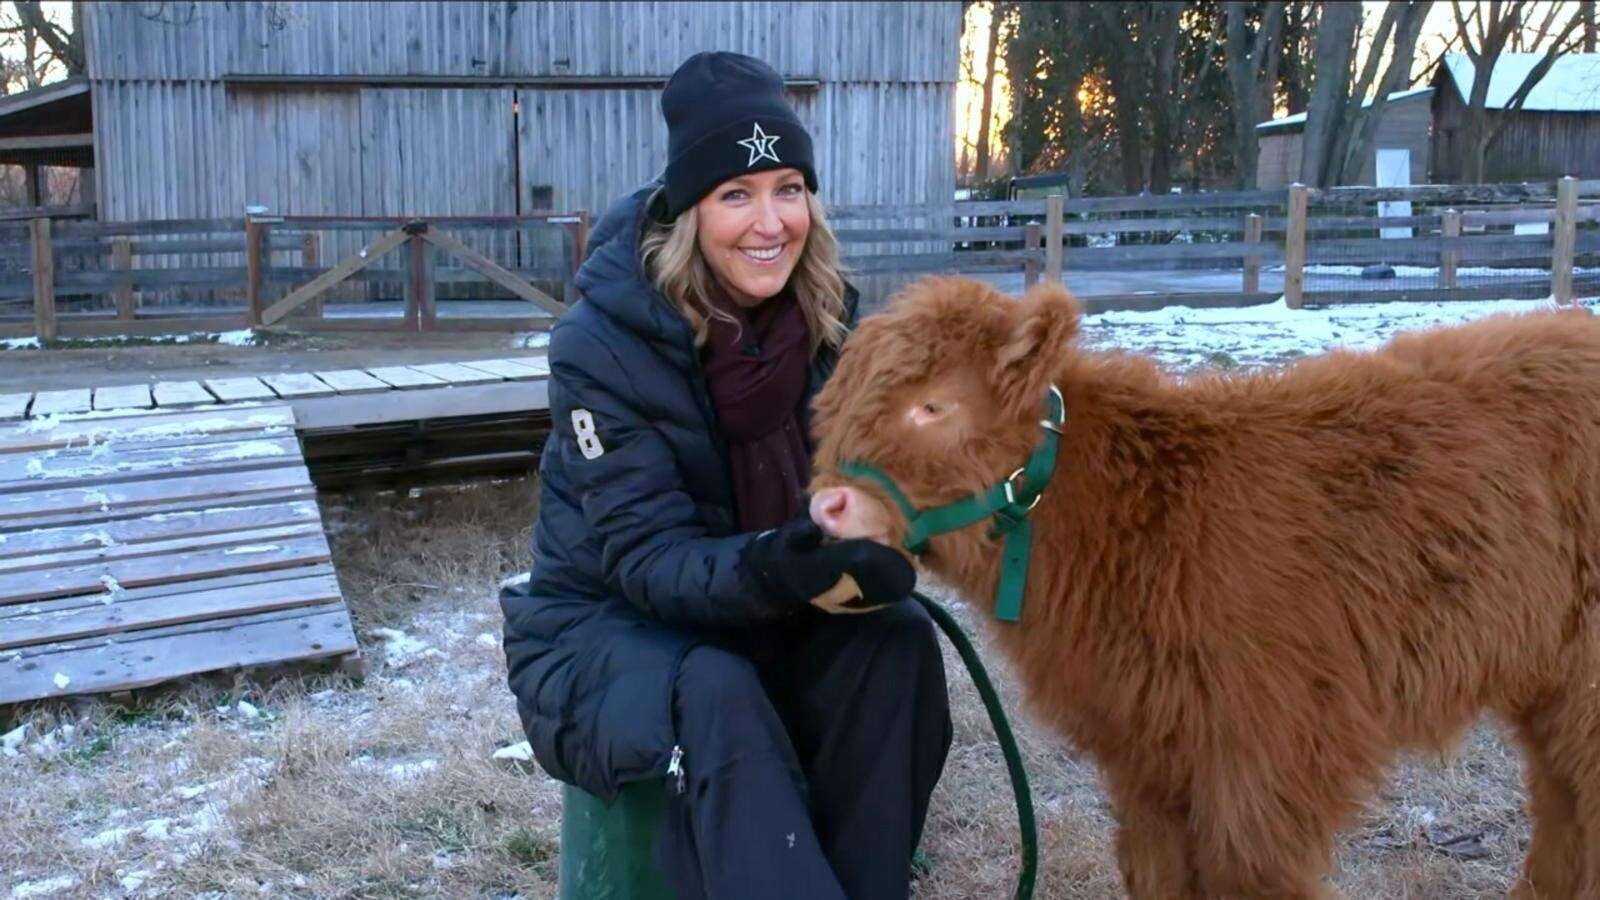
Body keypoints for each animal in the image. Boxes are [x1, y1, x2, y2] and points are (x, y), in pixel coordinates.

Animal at [806, 277, 1600, 890]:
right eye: (835, 405)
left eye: (934, 405)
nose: (826, 507)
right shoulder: (1148, 757)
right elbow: (1156, 872)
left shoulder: (1269, 749)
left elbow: (1246, 876)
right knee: (1563, 806)